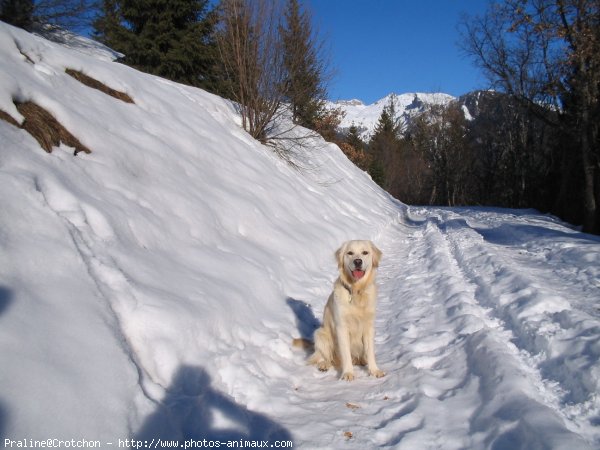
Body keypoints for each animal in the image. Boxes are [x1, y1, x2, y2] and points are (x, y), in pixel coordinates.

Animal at [304, 241, 384, 382]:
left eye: (365, 252)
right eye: (350, 253)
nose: (358, 261)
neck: (357, 291)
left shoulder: (369, 326)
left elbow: (370, 351)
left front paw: (374, 370)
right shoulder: (342, 327)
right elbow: (346, 354)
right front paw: (348, 373)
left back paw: (362, 360)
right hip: (320, 333)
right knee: (323, 356)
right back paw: (324, 364)